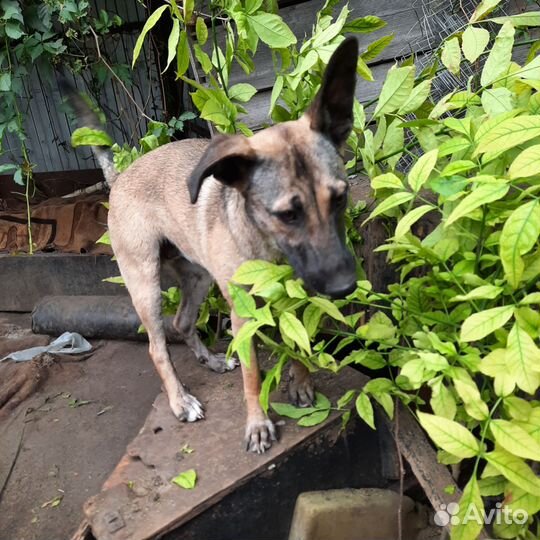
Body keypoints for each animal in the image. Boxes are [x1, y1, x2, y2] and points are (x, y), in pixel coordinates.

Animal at [64, 35, 358, 454]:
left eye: (339, 198)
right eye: (287, 214)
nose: (345, 287)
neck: (265, 245)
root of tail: (119, 177)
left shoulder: (296, 300)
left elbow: (296, 342)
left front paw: (301, 383)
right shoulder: (244, 316)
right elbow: (252, 376)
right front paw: (257, 424)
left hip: (198, 277)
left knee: (182, 322)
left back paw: (213, 362)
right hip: (144, 283)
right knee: (157, 345)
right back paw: (180, 401)